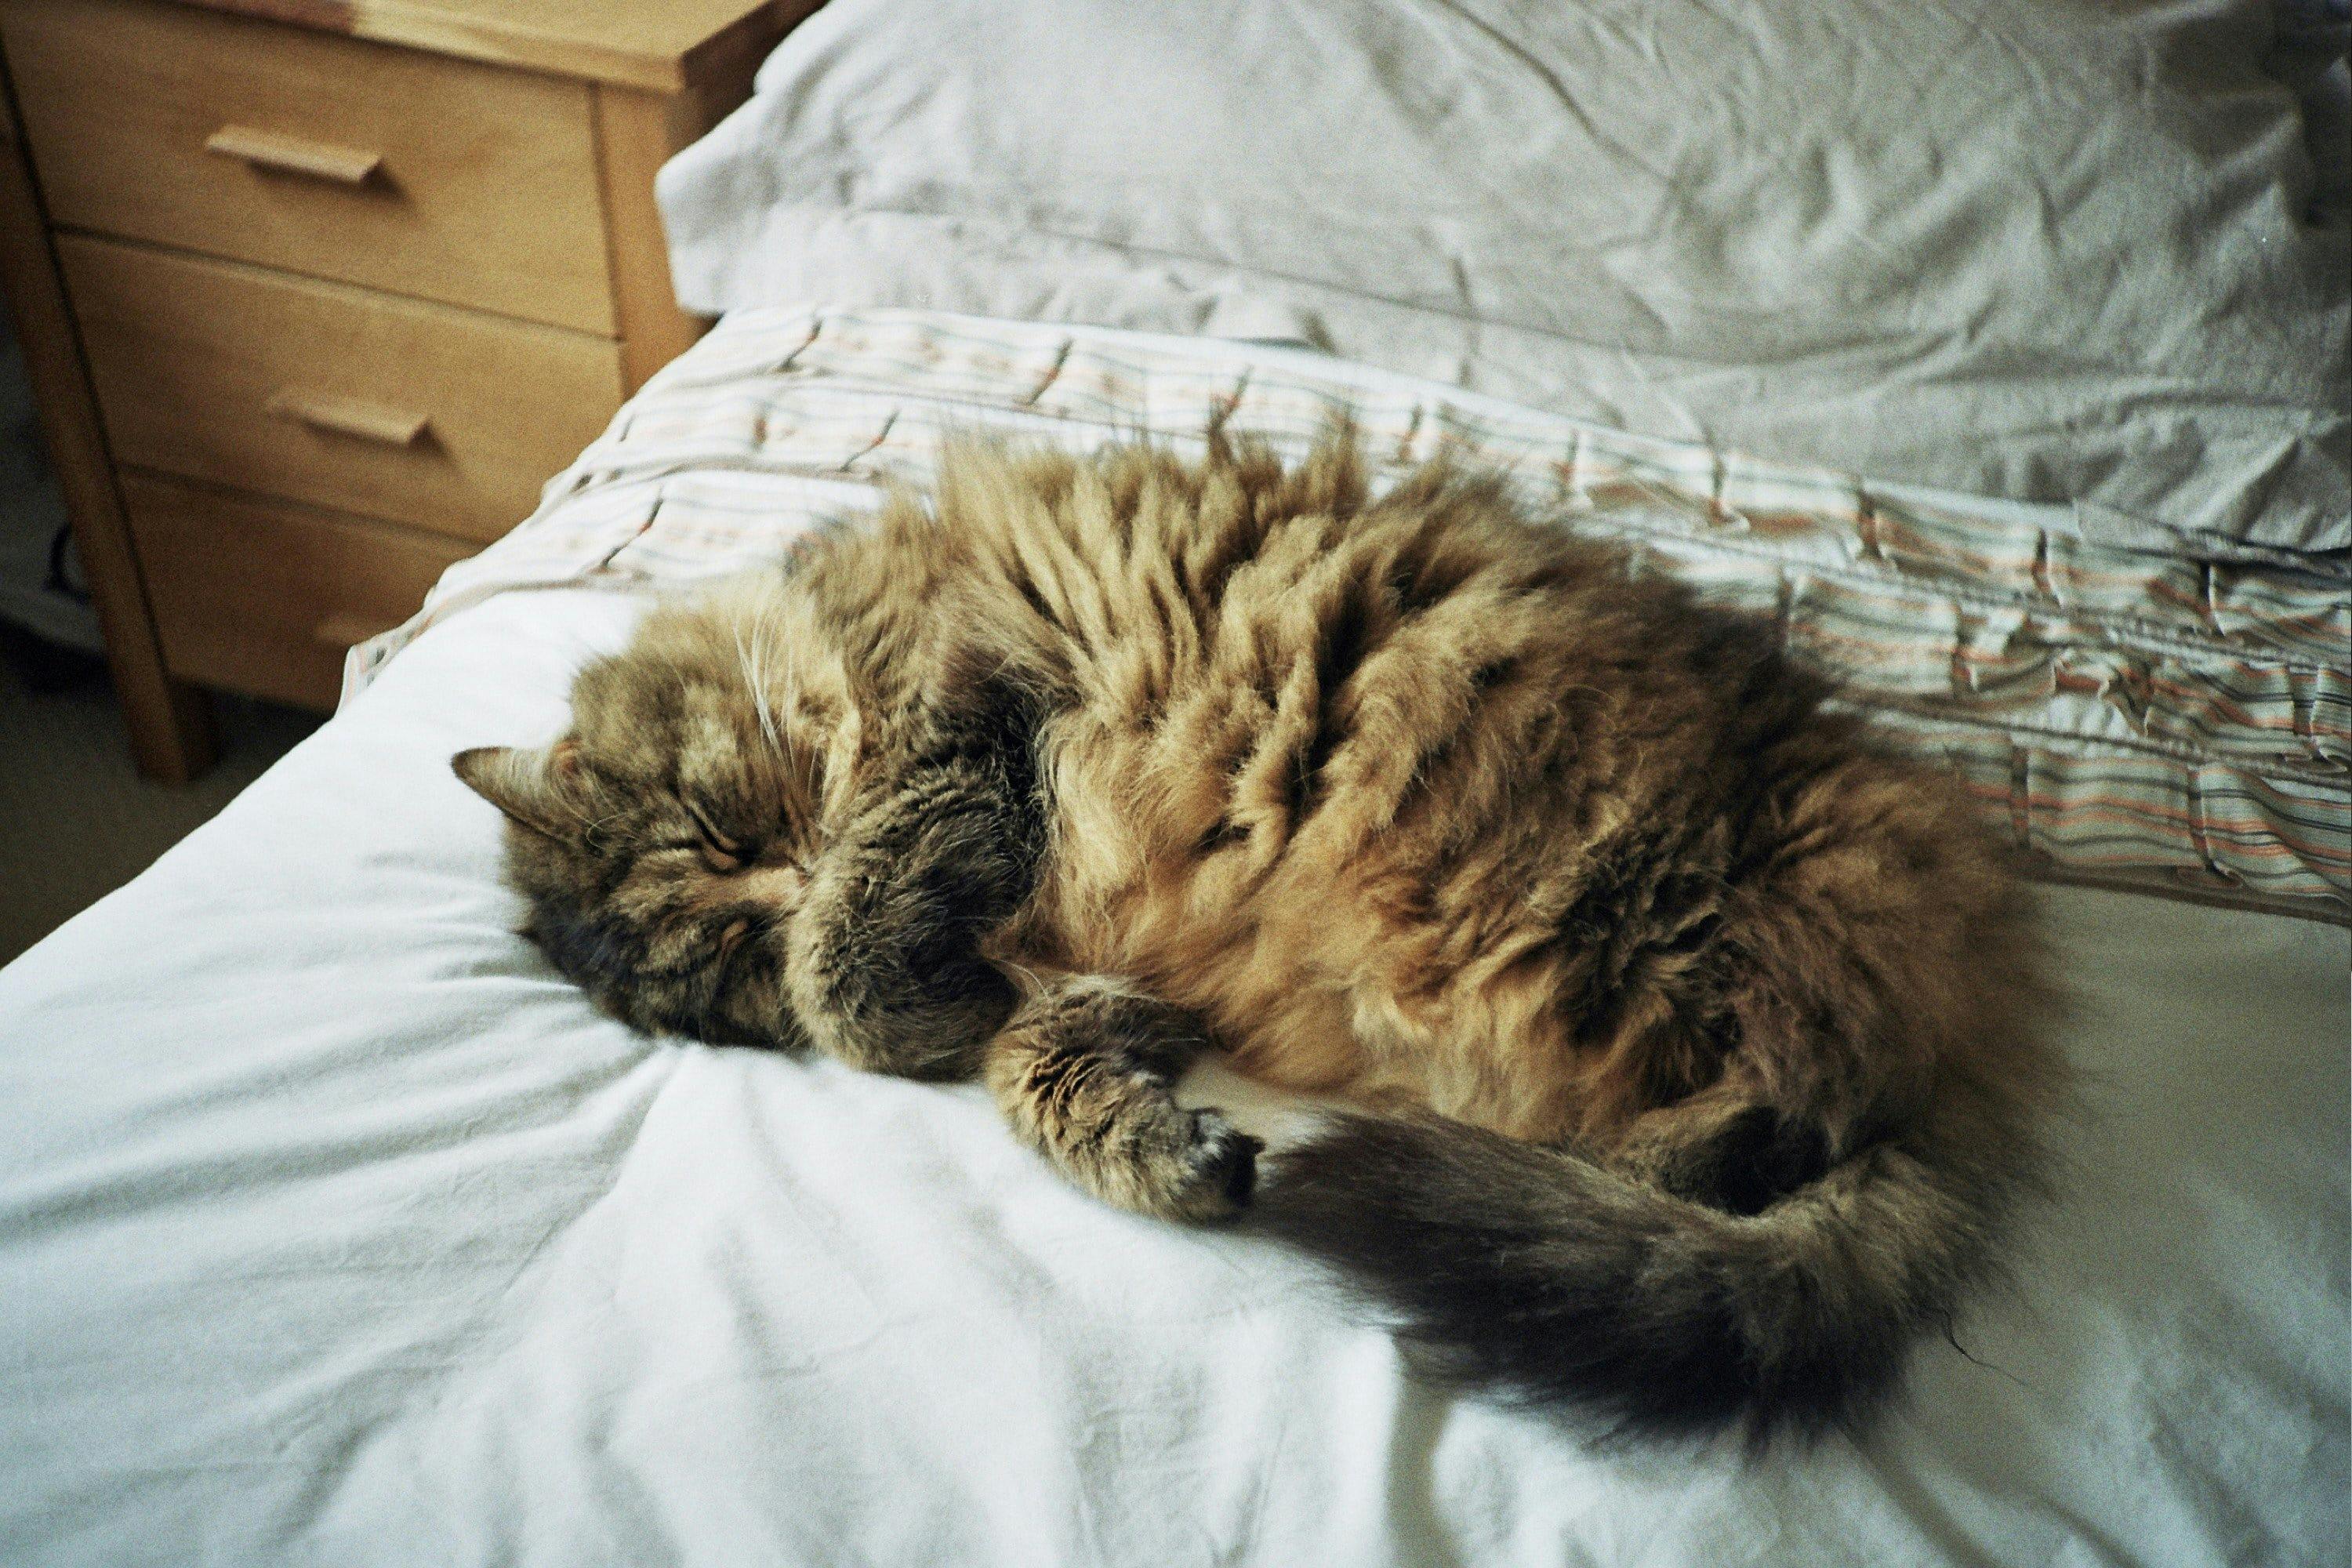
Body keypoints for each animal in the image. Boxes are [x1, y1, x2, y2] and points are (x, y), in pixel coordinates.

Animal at [454, 434, 2060, 1439]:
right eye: (719, 937)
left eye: (719, 839)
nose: (776, 887)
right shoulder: (1050, 934)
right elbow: (1033, 1061)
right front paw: (1159, 1135)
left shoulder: (969, 735)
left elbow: (862, 966)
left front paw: (898, 988)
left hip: (1638, 900)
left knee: (1797, 1113)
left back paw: (1569, 1168)